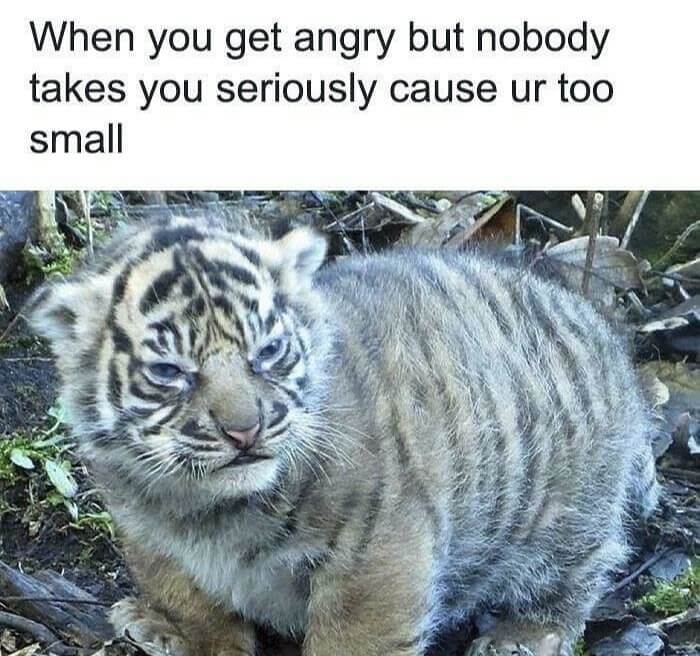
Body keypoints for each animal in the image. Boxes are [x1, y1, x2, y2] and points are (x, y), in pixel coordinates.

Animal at [27, 215, 659, 656]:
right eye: (169, 371)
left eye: (268, 352)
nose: (244, 430)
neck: (204, 507)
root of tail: (607, 336)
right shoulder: (148, 535)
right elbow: (191, 600)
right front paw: (177, 630)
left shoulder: (375, 555)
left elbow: (352, 637)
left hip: (566, 513)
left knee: (580, 573)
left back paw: (521, 635)